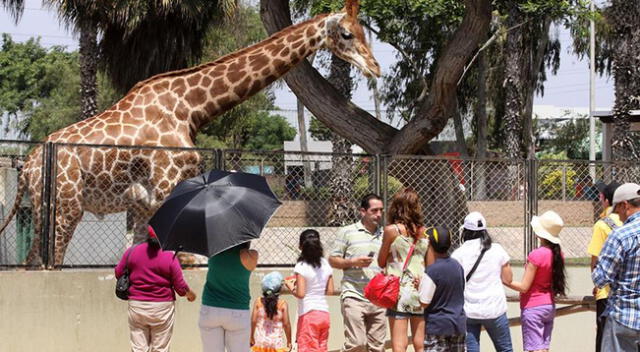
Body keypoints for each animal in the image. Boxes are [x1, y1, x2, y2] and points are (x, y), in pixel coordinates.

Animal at [0, 0, 380, 266]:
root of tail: (28, 165)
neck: (190, 107)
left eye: (365, 32)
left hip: (43, 207)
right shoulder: (165, 186)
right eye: (346, 33)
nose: (375, 67)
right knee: (48, 261)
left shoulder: (145, 201)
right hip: (66, 205)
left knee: (33, 260)